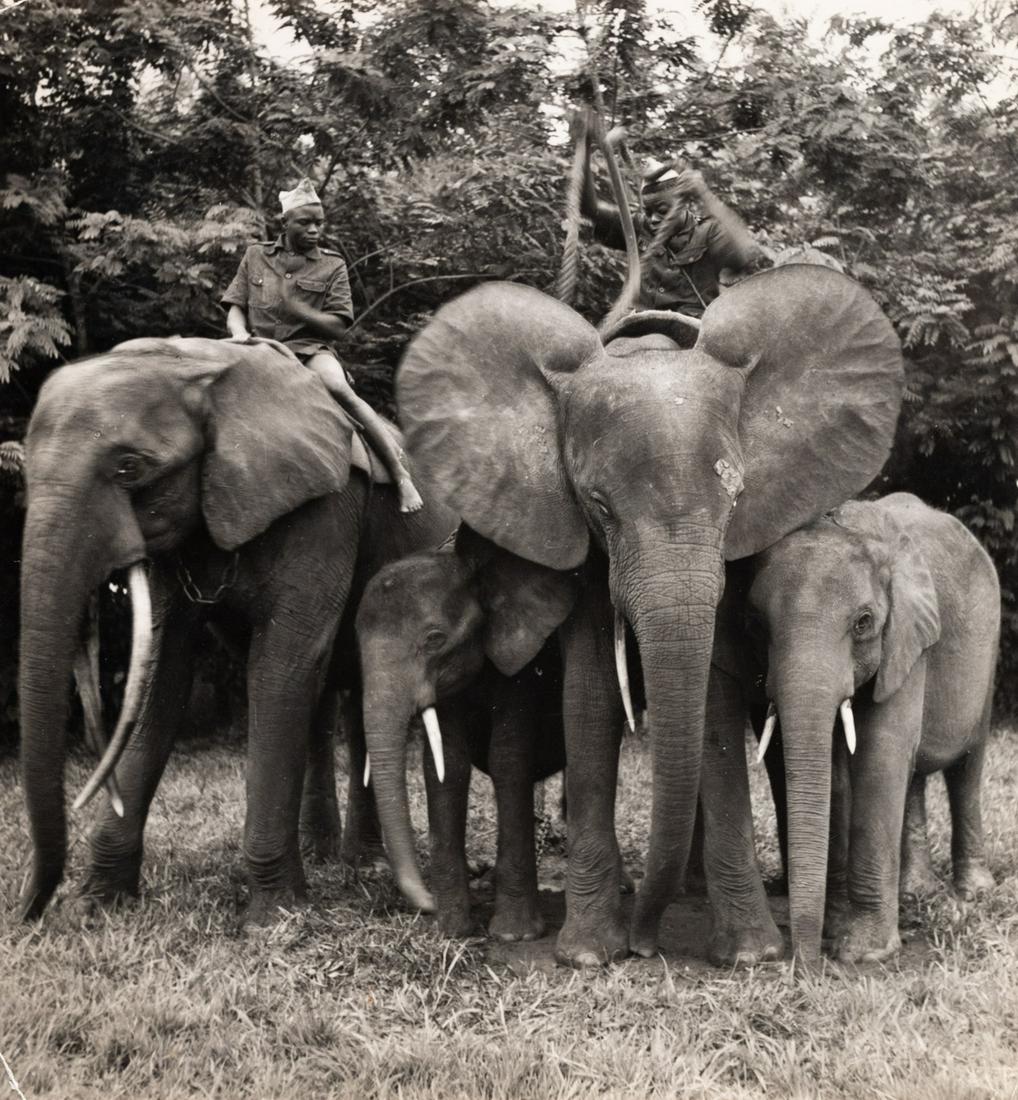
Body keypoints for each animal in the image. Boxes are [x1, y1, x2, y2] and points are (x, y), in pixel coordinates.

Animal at [18, 335, 454, 922]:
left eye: (130, 467)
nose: (30, 911)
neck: (196, 367)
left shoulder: (325, 509)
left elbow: (281, 666)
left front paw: (271, 916)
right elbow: (163, 672)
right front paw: (95, 905)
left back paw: (361, 863)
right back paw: (325, 855)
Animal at [355, 527, 573, 941]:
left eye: (434, 639)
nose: (425, 902)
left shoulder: (521, 655)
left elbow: (508, 758)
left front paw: (514, 935)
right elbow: (446, 766)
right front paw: (450, 930)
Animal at [395, 263, 904, 966]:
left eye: (736, 498)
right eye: (599, 505)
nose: (643, 945)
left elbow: (713, 701)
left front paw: (749, 955)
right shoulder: (579, 548)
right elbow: (592, 696)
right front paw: (589, 953)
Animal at [710, 492, 1000, 962]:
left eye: (863, 622)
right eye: (755, 625)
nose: (802, 964)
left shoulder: (908, 638)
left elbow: (881, 754)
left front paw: (864, 953)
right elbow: (837, 775)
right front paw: (836, 931)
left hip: (987, 656)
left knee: (966, 766)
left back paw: (972, 891)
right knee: (914, 777)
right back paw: (916, 892)